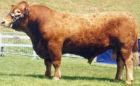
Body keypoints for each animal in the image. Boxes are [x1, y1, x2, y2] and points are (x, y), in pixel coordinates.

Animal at [0, 1, 139, 84]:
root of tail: (128, 14)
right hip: (118, 48)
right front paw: (46, 75)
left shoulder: (54, 45)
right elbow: (47, 63)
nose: (3, 21)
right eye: (12, 9)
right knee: (120, 63)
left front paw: (56, 77)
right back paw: (116, 79)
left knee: (128, 62)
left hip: (125, 47)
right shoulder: (45, 48)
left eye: (18, 12)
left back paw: (128, 80)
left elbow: (56, 62)